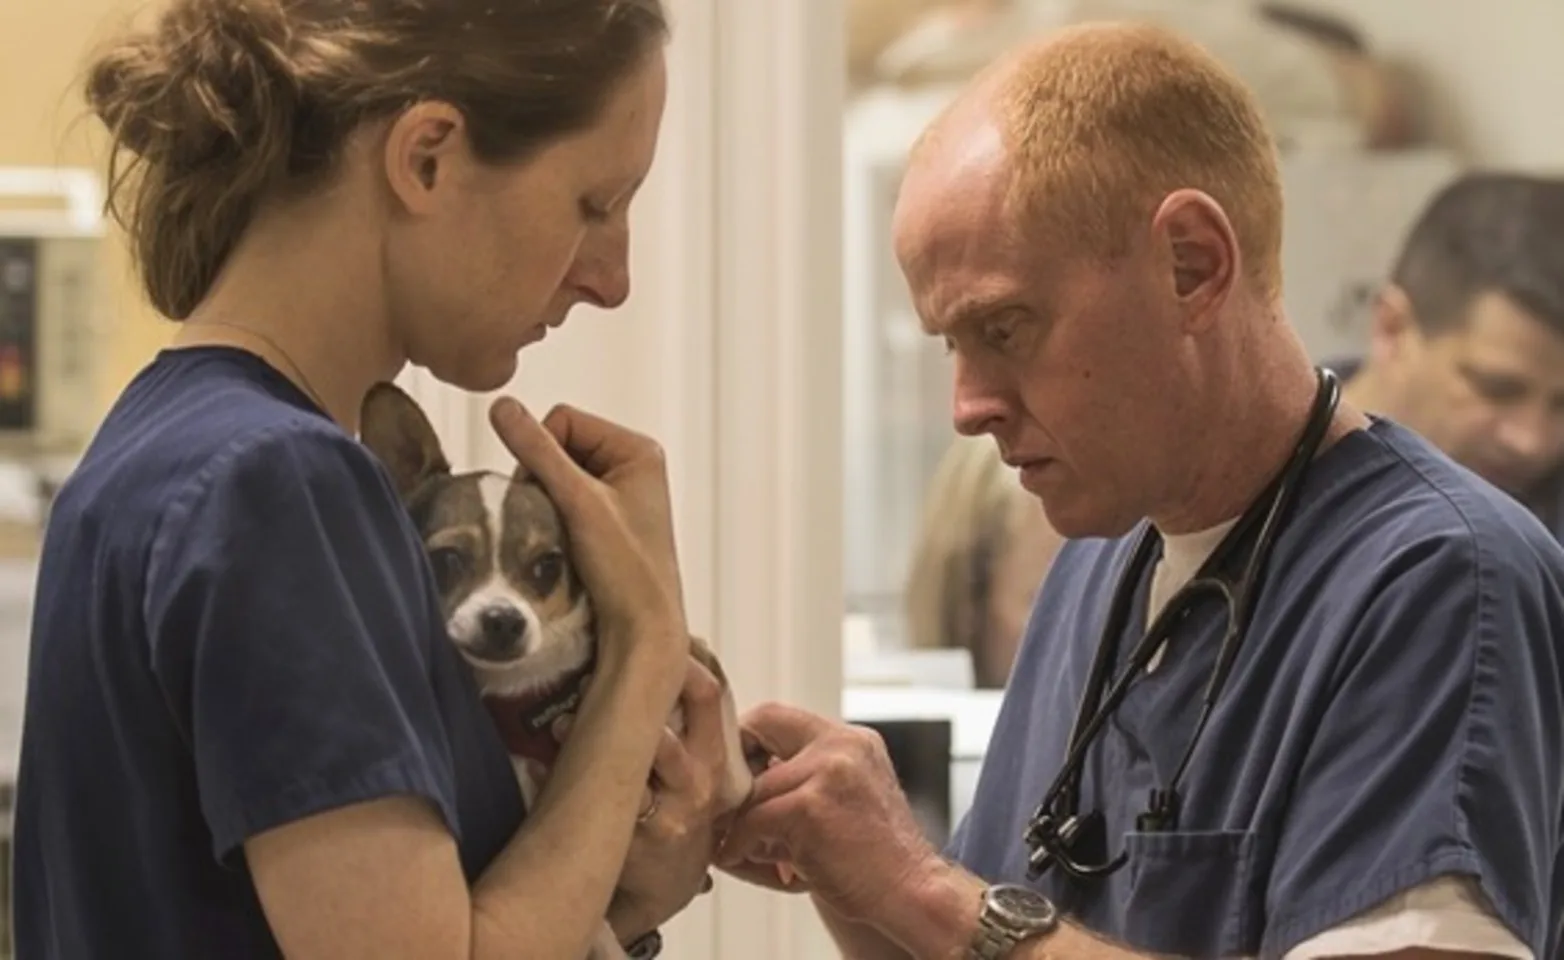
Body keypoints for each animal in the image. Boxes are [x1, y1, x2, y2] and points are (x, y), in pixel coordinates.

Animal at [365, 383, 756, 960]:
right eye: (447, 561)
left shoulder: (698, 683)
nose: (504, 620)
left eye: (547, 567)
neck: (529, 689)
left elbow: (727, 757)